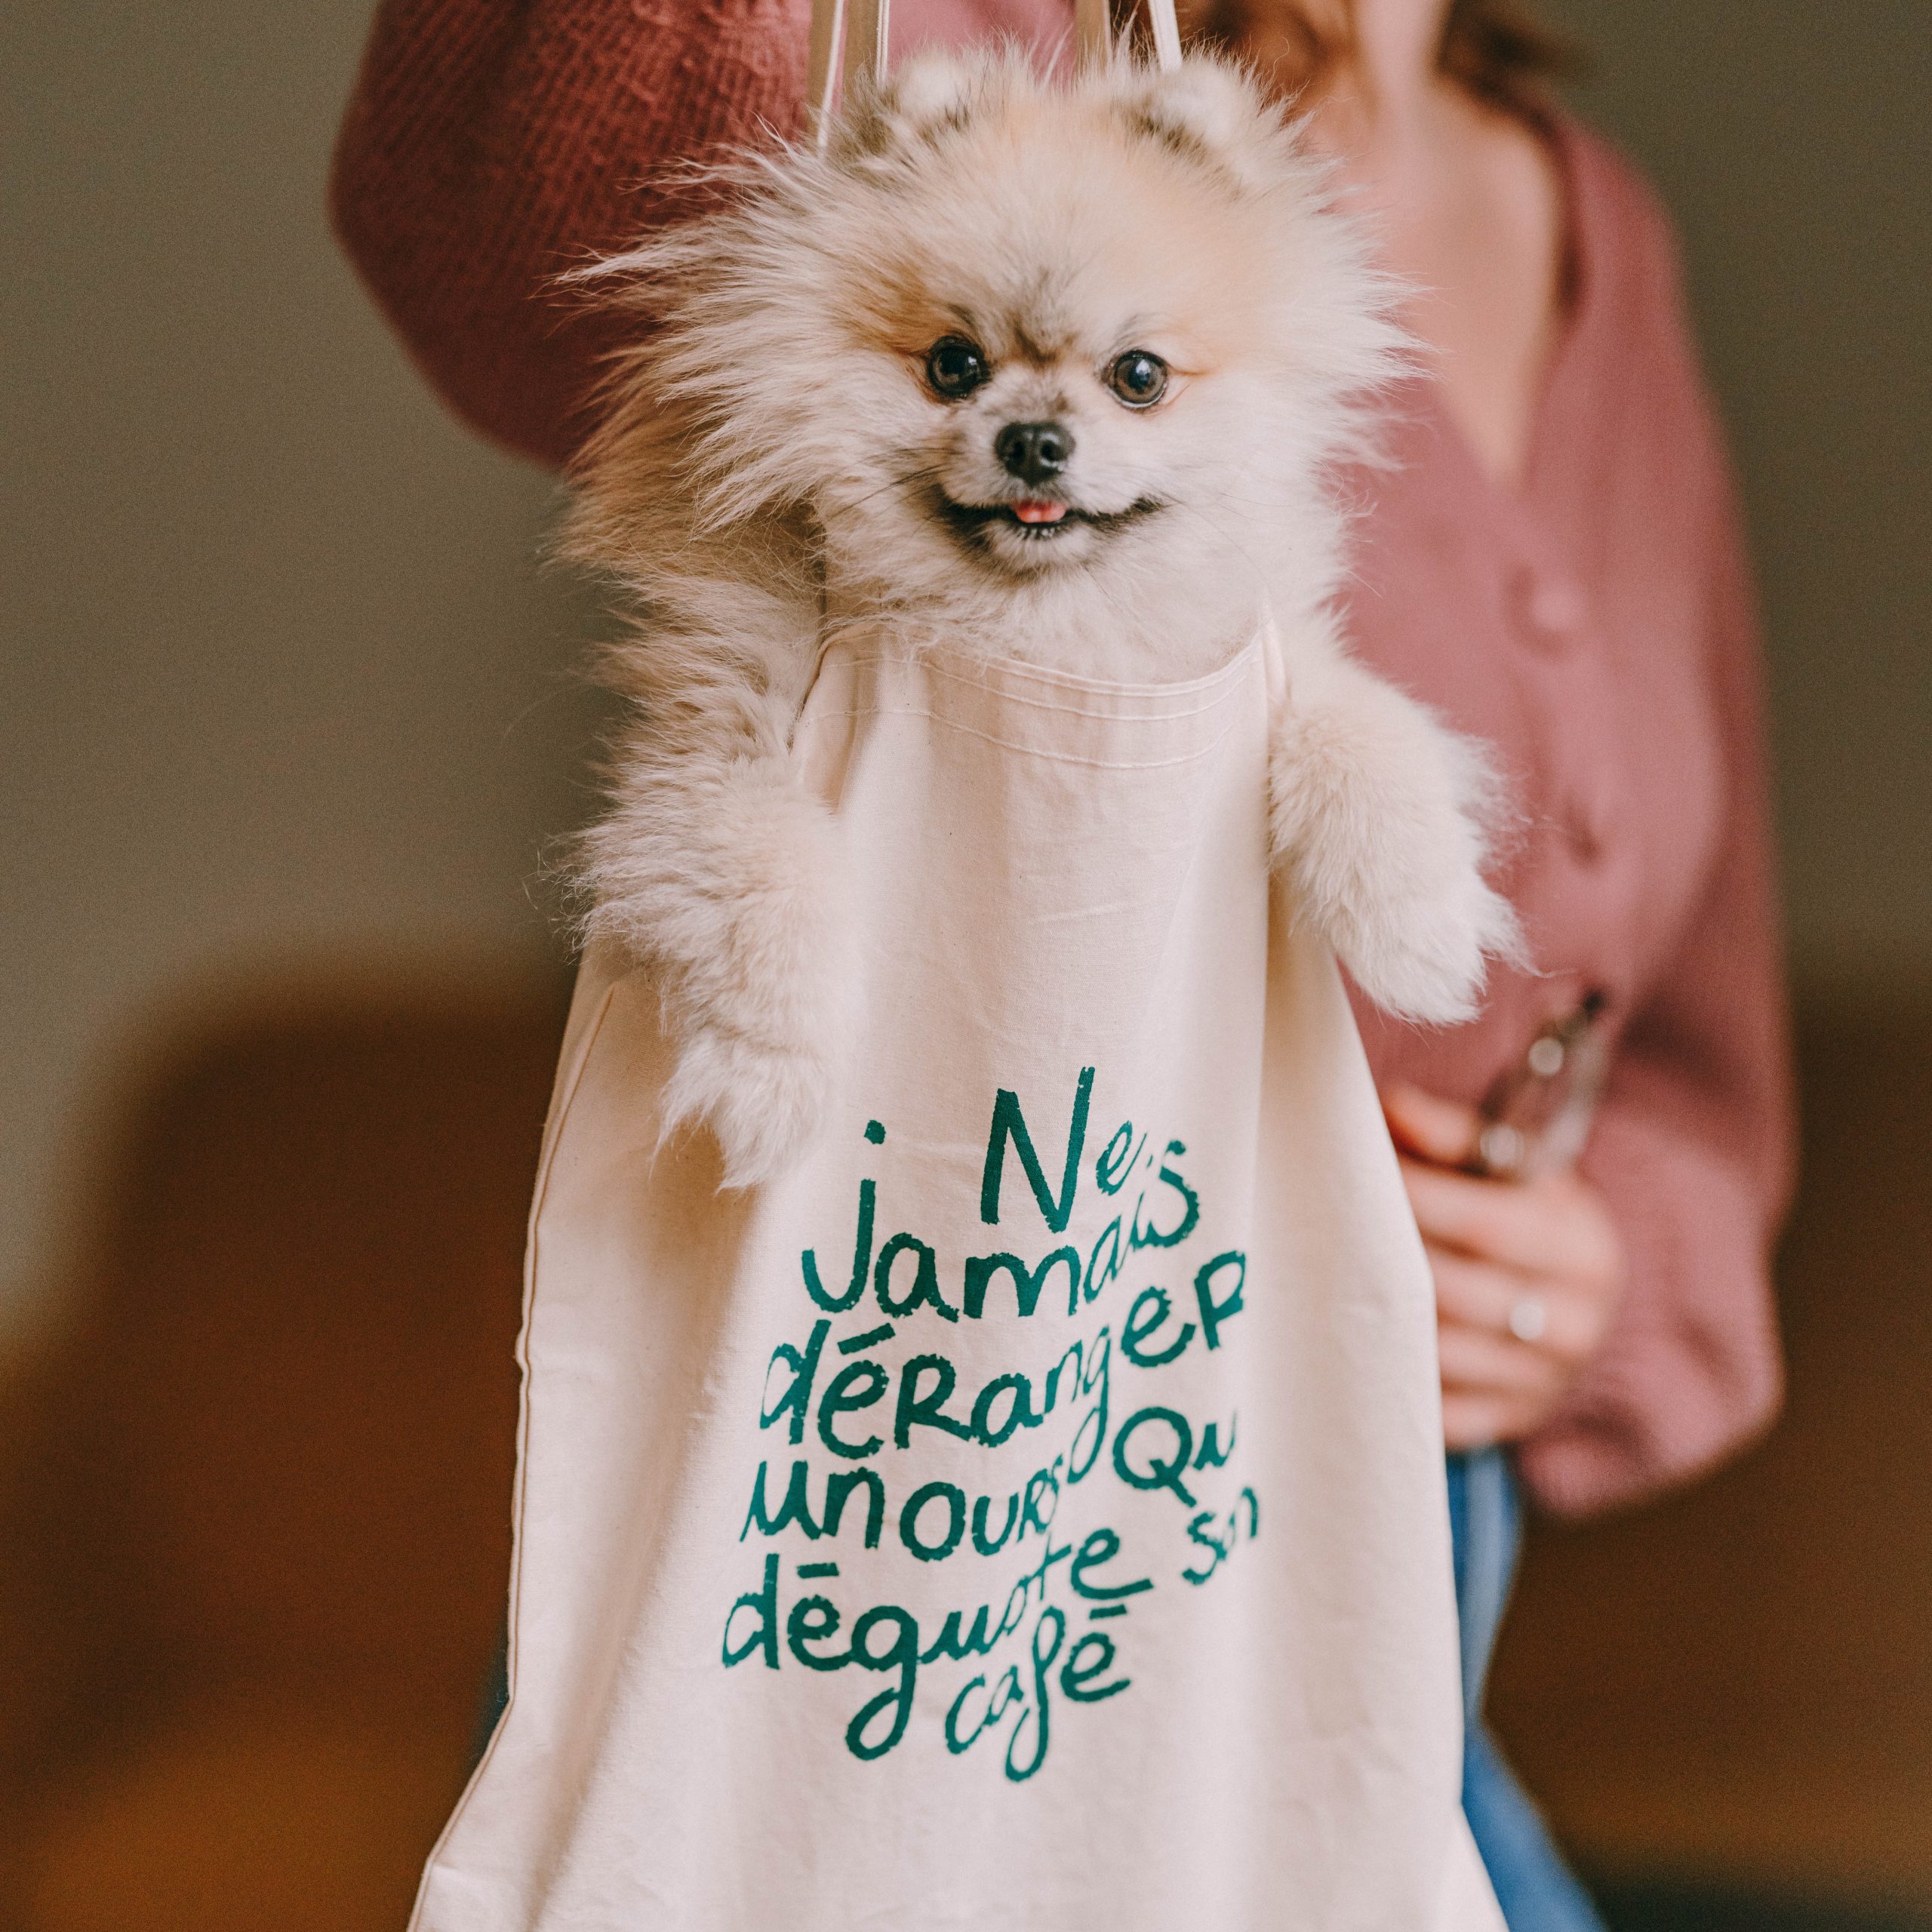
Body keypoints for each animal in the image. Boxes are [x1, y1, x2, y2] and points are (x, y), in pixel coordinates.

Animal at [564, 53, 1515, 1182]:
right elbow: (766, 875)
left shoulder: (1268, 648)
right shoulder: (717, 741)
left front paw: (1420, 932)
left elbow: (1366, 732)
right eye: (953, 365)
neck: (1044, 626)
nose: (1032, 439)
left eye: (1139, 375)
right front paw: (769, 1076)